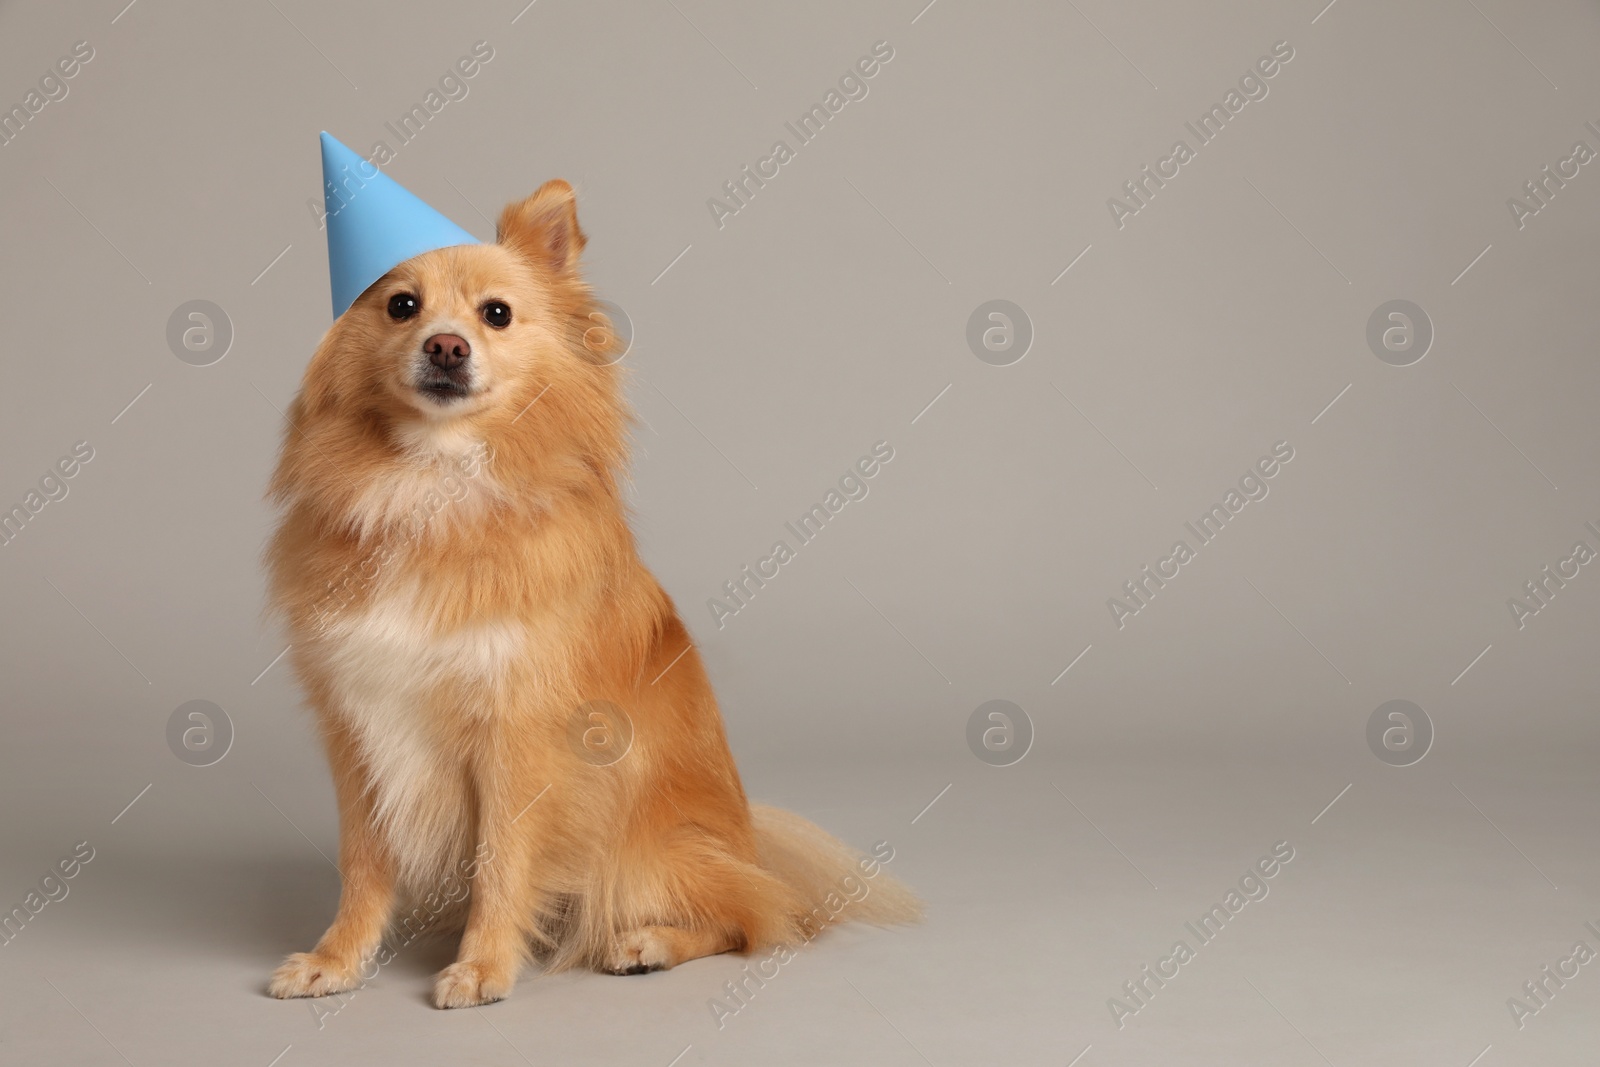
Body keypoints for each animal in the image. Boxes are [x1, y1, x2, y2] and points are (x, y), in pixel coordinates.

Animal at [259, 179, 915, 1004]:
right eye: (402, 307)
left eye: (496, 314)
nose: (446, 346)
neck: (434, 485)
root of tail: (748, 837)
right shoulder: (359, 726)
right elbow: (364, 862)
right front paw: (338, 957)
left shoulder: (518, 734)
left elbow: (503, 861)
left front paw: (483, 965)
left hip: (642, 852)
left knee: (753, 913)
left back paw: (650, 941)